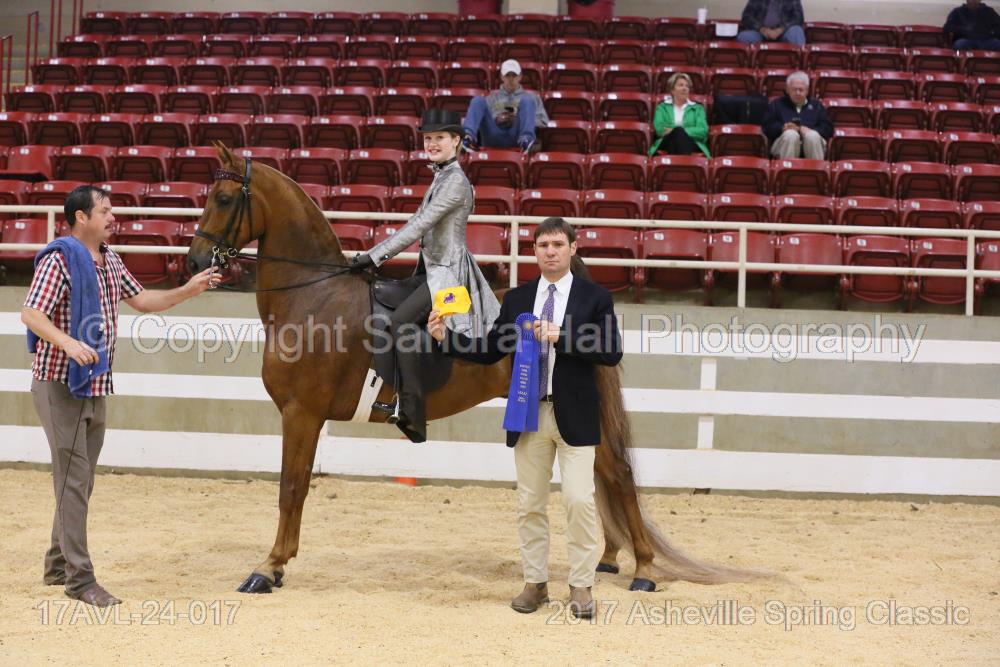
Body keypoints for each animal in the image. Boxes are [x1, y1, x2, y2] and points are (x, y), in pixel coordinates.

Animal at [187, 143, 767, 595]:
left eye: (223, 199)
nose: (194, 263)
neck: (316, 297)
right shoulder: (302, 416)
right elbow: (294, 487)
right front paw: (276, 565)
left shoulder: (301, 414)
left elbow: (291, 487)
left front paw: (269, 568)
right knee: (604, 476)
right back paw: (610, 559)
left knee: (618, 475)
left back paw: (644, 569)